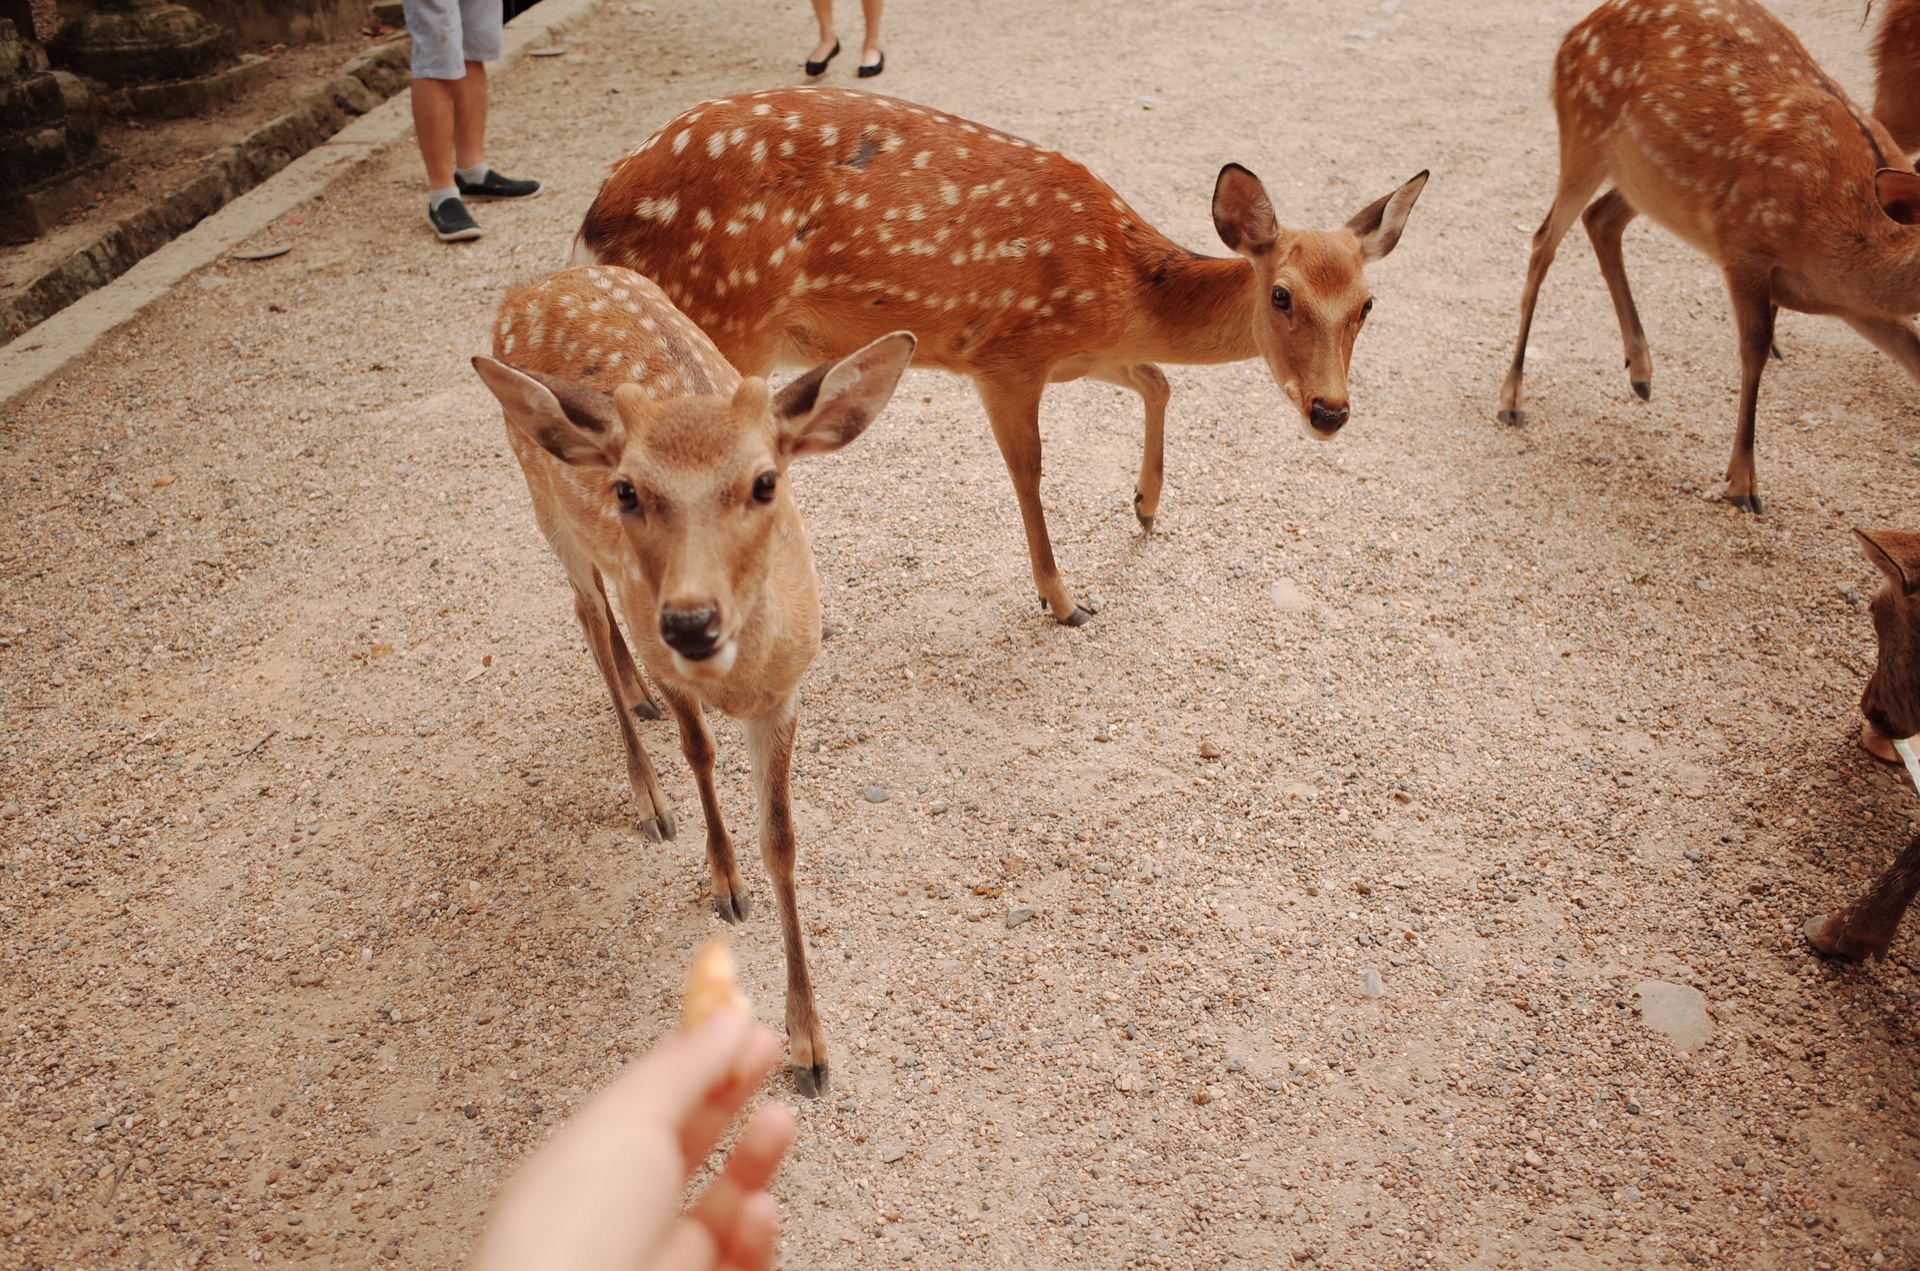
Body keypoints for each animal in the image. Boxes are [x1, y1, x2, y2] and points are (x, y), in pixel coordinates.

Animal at [468, 263, 910, 1098]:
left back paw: (639, 698)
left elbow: (784, 840)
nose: (690, 621)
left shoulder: (786, 693)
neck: (735, 679)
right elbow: (700, 754)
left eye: (766, 481)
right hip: (546, 505)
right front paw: (724, 883)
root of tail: (541, 280)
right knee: (588, 614)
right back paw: (647, 792)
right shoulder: (673, 659)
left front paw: (809, 1043)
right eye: (627, 490)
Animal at [568, 85, 1428, 625]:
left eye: (1368, 304)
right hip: (722, 319)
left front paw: (1146, 505)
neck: (1121, 287)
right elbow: (1030, 469)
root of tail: (596, 213)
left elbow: (1157, 380)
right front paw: (1064, 599)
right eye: (1282, 295)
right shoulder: (1006, 352)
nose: (1330, 409)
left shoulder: (1081, 351)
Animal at [1497, 0, 1920, 518]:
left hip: (1647, 181)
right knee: (1544, 241)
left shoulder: (1857, 306)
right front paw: (1743, 483)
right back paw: (1513, 397)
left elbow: (1916, 357)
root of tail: (1575, 35)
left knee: (1601, 219)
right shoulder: (1743, 248)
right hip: (1584, 137)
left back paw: (1640, 369)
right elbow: (1754, 347)